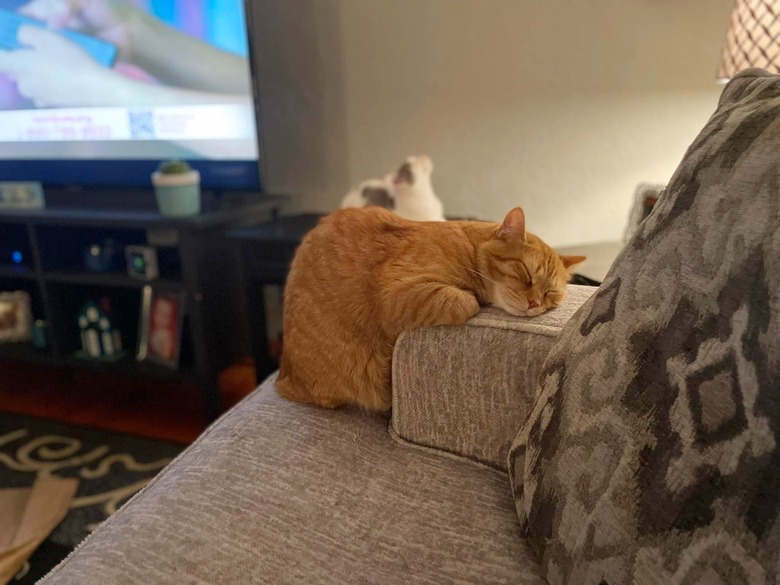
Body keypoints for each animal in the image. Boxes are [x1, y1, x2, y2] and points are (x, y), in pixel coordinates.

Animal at [278, 205, 580, 410]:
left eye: (550, 294)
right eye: (525, 274)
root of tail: (283, 377)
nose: (534, 304)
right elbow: (465, 301)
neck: (468, 249)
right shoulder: (398, 295)